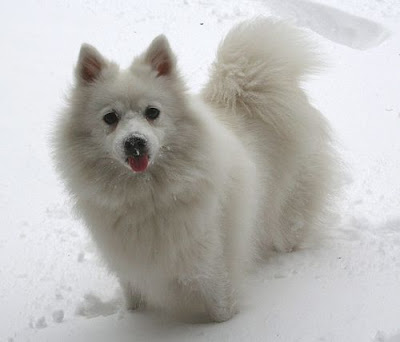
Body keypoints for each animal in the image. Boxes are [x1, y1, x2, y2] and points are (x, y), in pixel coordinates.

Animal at [53, 18, 338, 324]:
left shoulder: (209, 257)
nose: (135, 142)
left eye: (152, 112)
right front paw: (134, 318)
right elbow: (134, 300)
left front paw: (226, 325)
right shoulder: (130, 265)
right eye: (110, 118)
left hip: (288, 209)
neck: (146, 196)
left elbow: (220, 306)